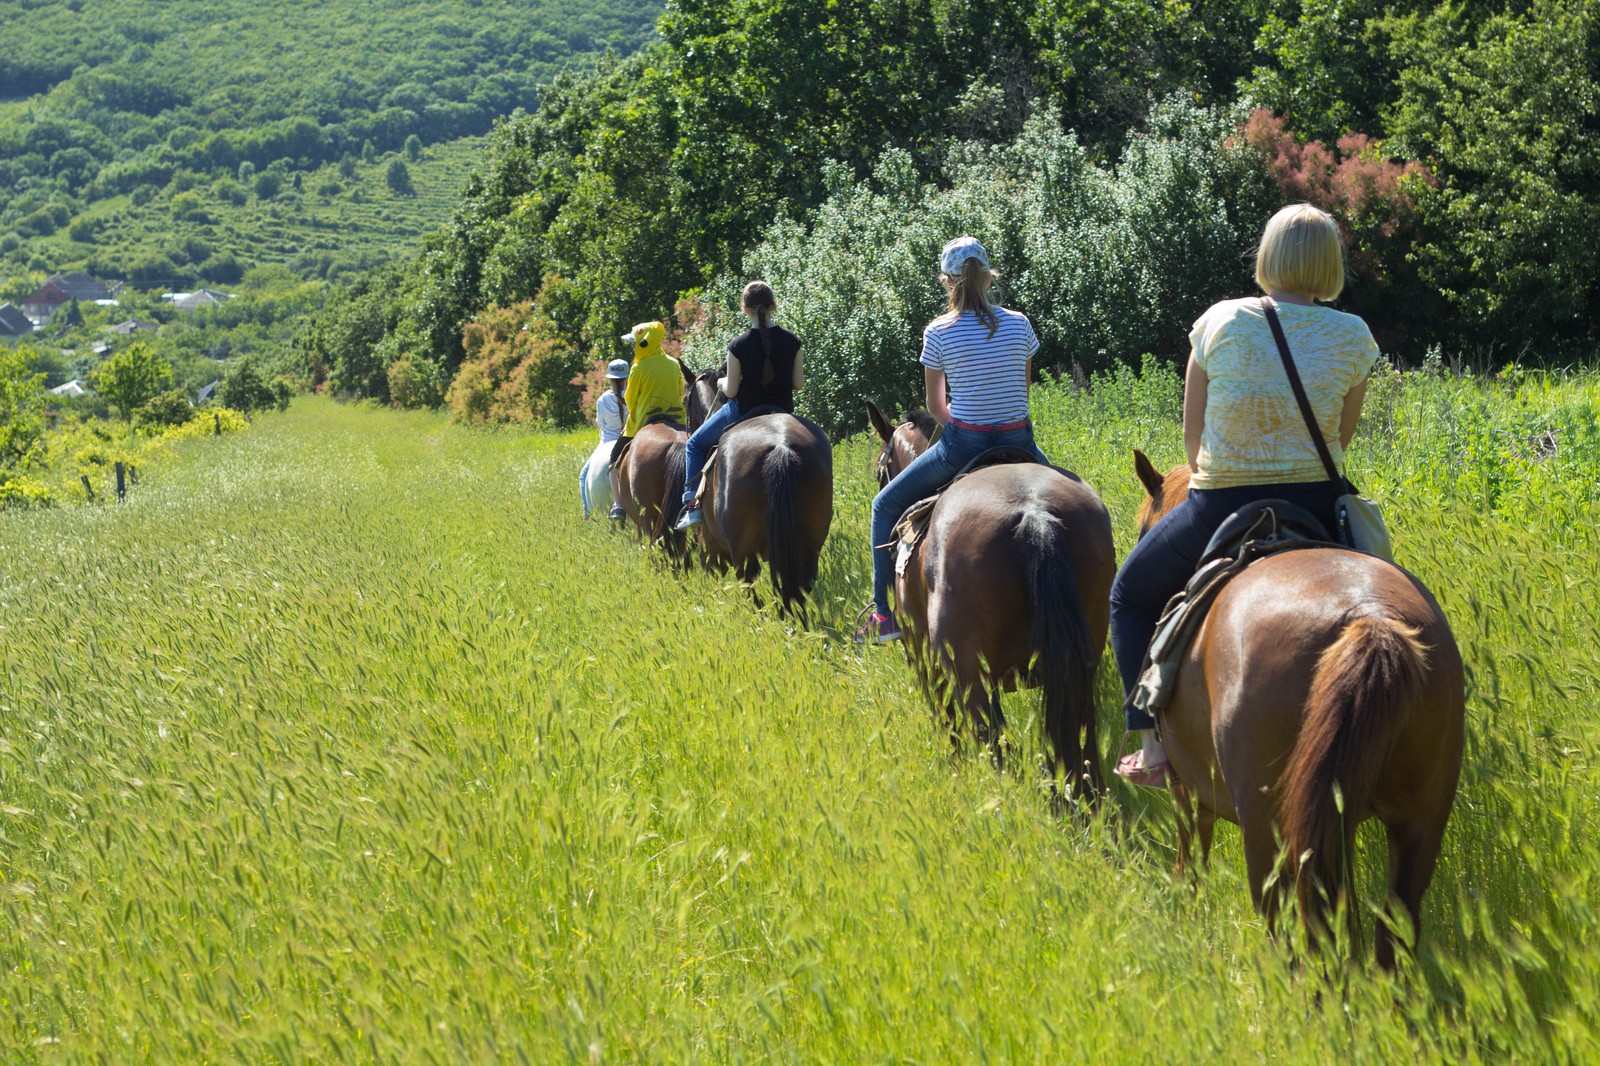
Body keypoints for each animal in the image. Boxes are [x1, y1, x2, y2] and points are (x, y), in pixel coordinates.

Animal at [691, 409, 832, 617]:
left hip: (743, 552)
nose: (708, 576)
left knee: (749, 585)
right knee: (800, 583)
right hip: (809, 546)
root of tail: (781, 446)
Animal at [870, 398, 1120, 787]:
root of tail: (1035, 514)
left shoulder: (922, 657)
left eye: (881, 471)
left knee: (993, 744)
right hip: (1080, 661)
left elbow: (946, 722)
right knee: (1080, 743)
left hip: (970, 676)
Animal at [1132, 444, 1465, 966]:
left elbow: (1191, 855)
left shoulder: (1187, 788)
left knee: (1292, 932)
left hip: (1270, 832)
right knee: (1392, 930)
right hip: (1418, 824)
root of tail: (1371, 618)